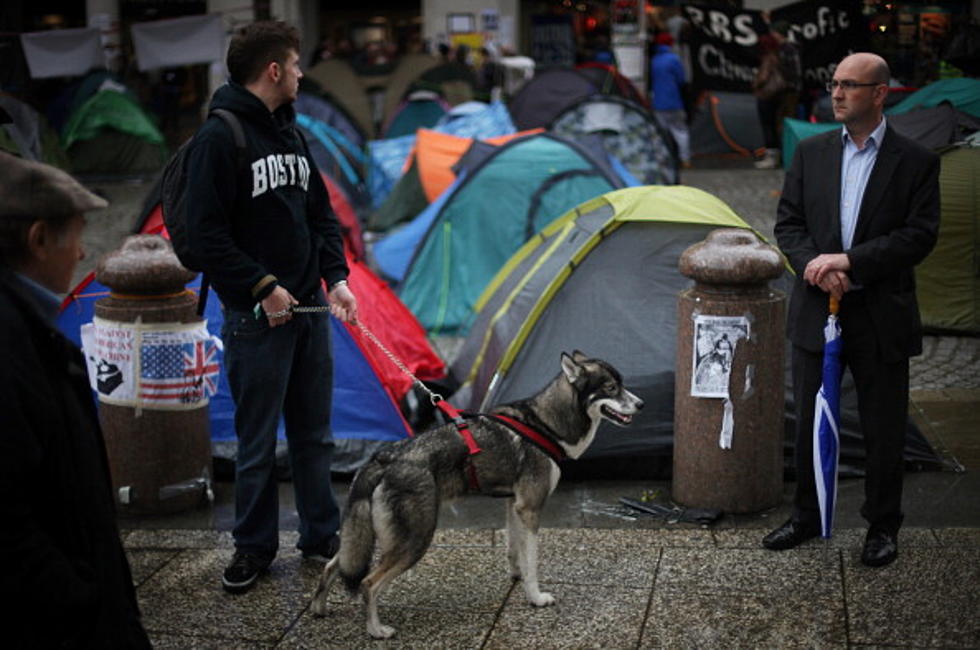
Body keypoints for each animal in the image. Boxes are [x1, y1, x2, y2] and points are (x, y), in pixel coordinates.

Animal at [308, 350, 644, 636]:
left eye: (622, 384)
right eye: (612, 387)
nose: (641, 404)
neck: (545, 423)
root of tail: (383, 458)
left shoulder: (514, 505)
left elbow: (514, 550)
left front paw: (517, 578)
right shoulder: (531, 509)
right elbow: (532, 562)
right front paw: (536, 597)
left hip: (366, 537)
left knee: (333, 565)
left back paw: (319, 609)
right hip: (415, 540)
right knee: (368, 583)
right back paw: (376, 630)